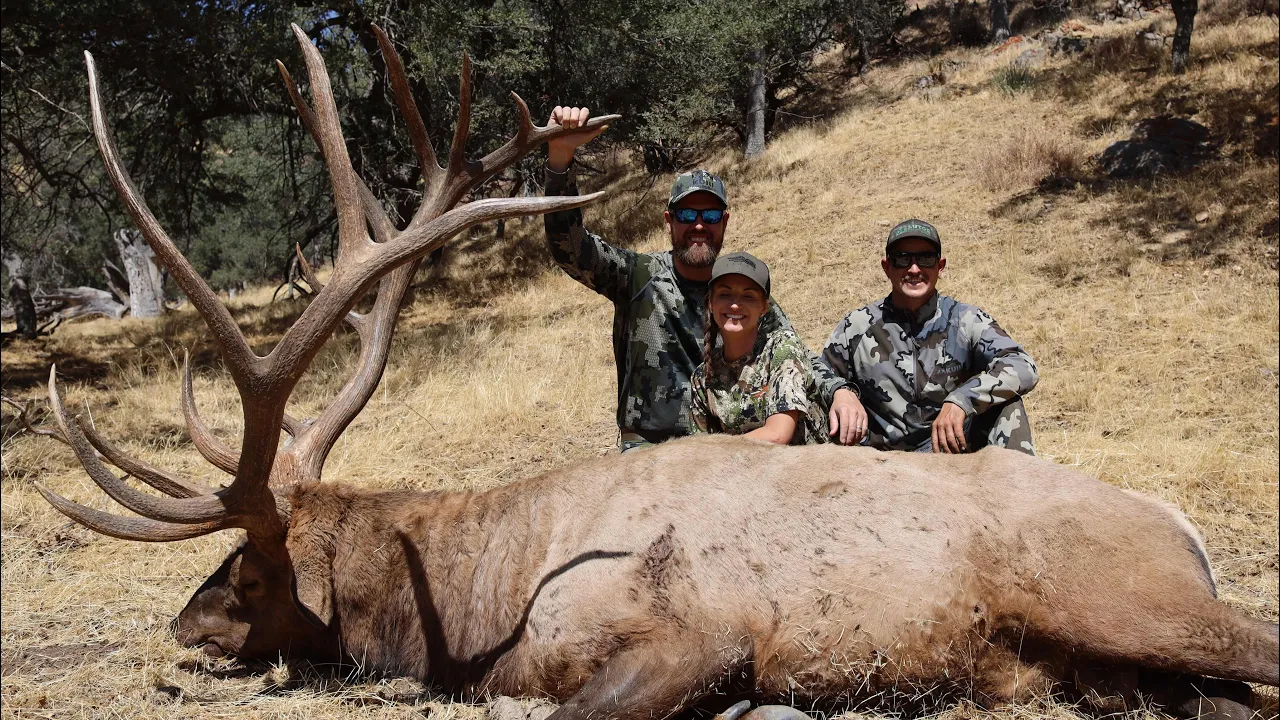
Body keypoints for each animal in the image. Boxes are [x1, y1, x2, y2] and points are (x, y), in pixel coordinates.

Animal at [22, 23, 1277, 720]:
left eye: (241, 569)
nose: (179, 627)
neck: (481, 594)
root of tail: (1181, 527)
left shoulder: (695, 635)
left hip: (1117, 596)